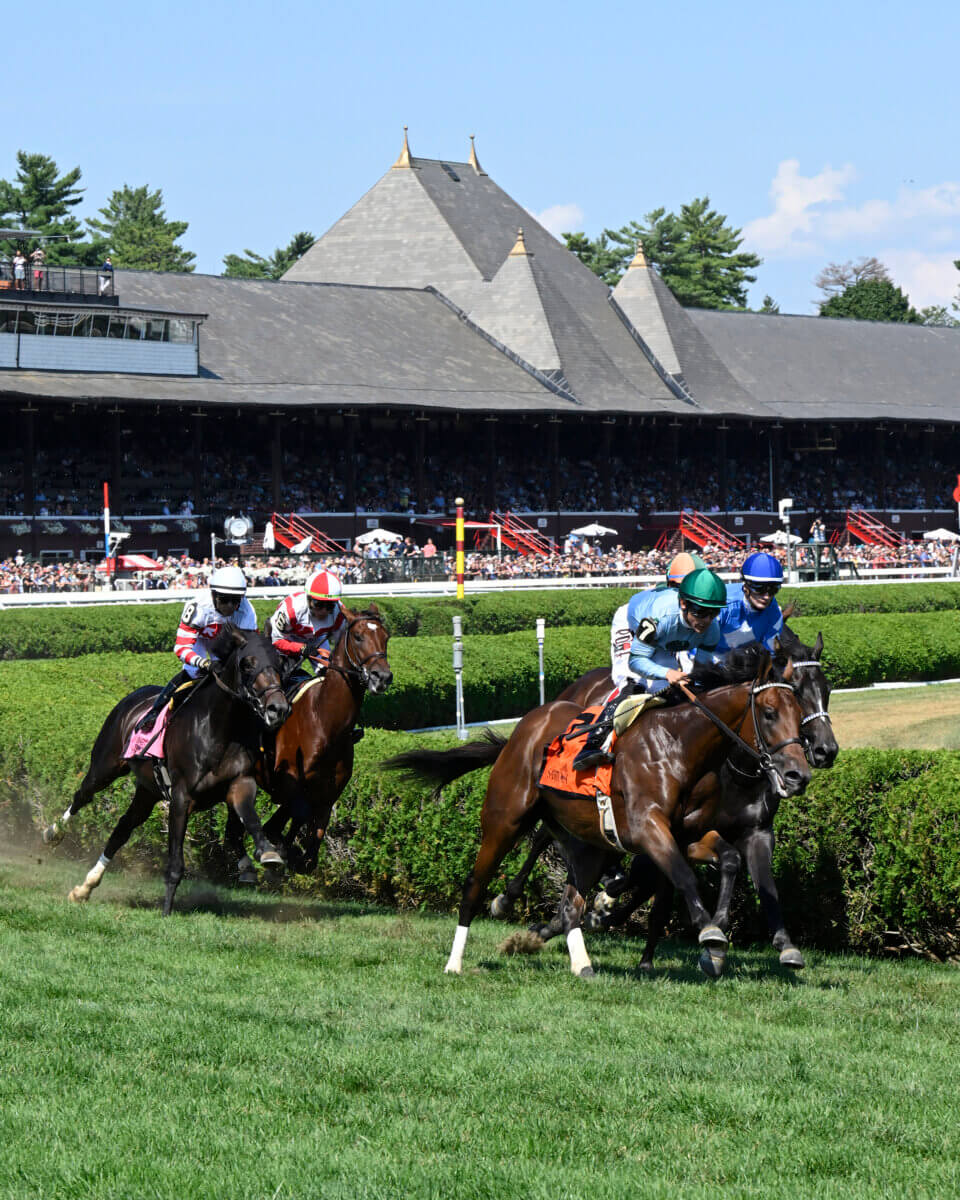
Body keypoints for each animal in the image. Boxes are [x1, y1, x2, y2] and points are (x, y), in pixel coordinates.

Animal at [43, 624, 289, 912]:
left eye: (279, 663)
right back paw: (53, 832)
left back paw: (85, 887)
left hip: (148, 790)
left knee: (123, 828)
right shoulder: (181, 796)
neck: (220, 729)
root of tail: (132, 697)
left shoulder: (240, 783)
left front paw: (267, 853)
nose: (277, 708)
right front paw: (166, 909)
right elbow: (175, 861)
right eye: (248, 663)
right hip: (106, 765)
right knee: (84, 794)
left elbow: (250, 817)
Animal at [223, 604, 391, 878]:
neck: (324, 722)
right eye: (358, 637)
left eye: (386, 637)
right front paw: (278, 846)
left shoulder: (329, 794)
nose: (382, 677)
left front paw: (292, 853)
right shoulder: (287, 781)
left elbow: (311, 849)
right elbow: (291, 814)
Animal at [386, 652, 806, 979]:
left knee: (571, 903)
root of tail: (526, 727)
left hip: (586, 842)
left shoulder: (688, 834)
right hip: (504, 821)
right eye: (769, 713)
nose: (797, 774)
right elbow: (683, 876)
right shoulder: (647, 827)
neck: (678, 747)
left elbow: (712, 867)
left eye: (800, 713)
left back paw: (582, 964)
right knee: (475, 886)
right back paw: (456, 961)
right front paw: (711, 937)